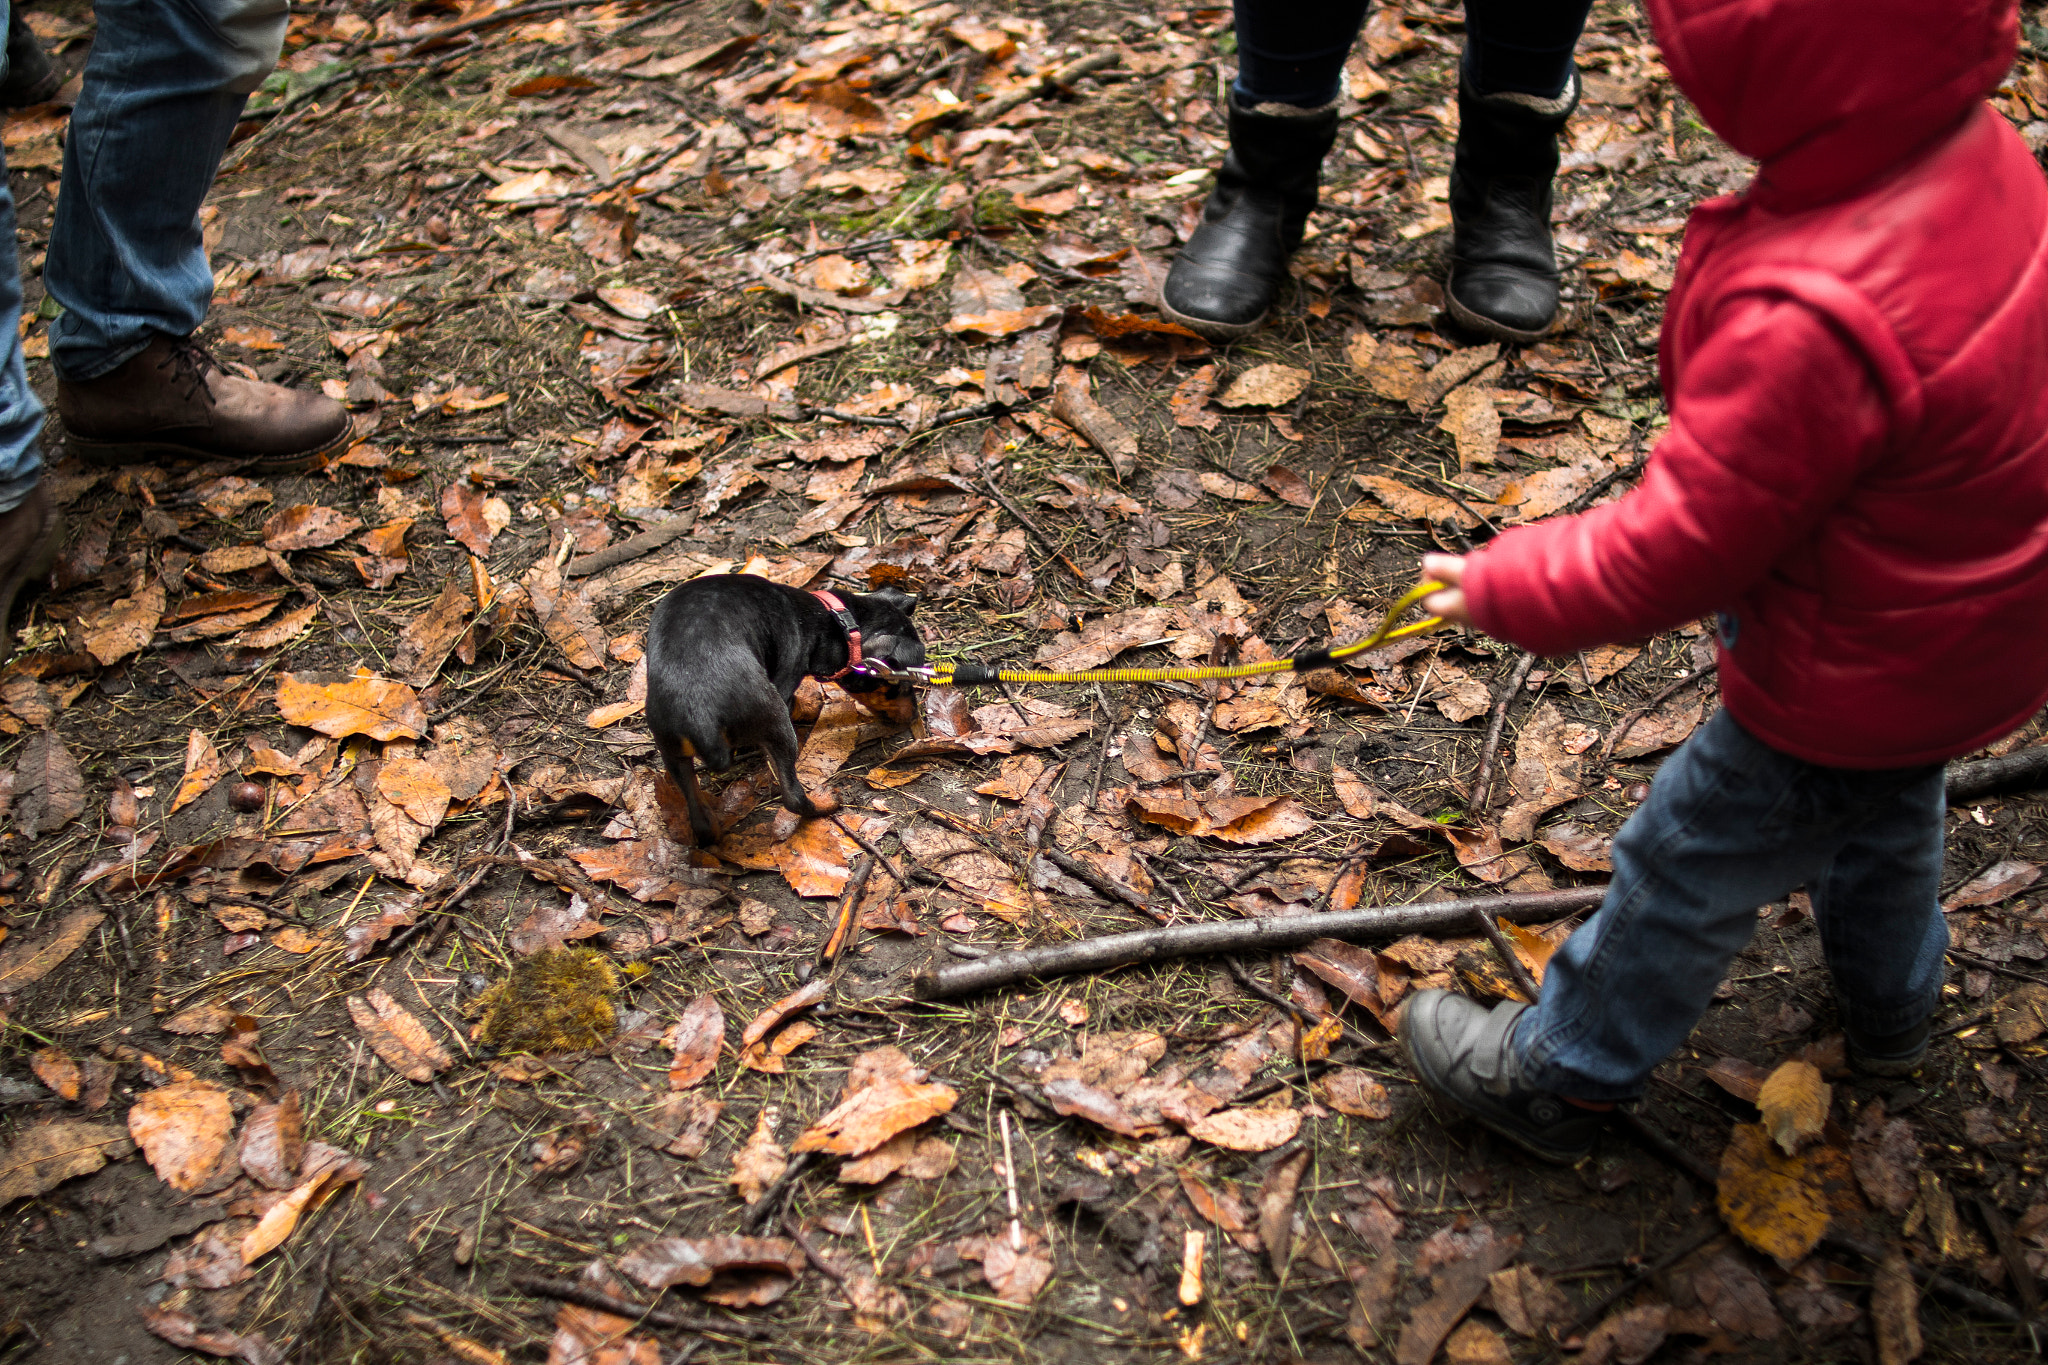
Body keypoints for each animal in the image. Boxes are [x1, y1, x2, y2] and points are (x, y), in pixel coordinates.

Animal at [643, 573, 925, 843]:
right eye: (899, 685)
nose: (913, 716)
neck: (829, 618)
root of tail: (699, 715)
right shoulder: (787, 681)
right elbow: (797, 704)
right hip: (776, 721)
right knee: (794, 797)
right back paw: (826, 804)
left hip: (670, 749)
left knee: (699, 818)